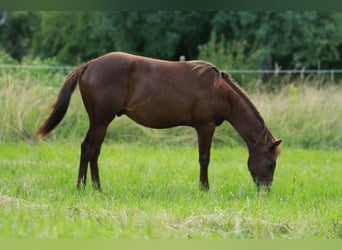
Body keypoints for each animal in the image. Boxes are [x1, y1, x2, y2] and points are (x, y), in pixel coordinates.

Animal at [36, 51, 282, 190]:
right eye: (272, 163)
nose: (265, 190)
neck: (219, 91)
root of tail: (89, 65)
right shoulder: (205, 126)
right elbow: (204, 159)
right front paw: (204, 189)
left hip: (101, 122)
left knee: (94, 151)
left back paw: (96, 188)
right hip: (100, 120)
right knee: (88, 148)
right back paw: (82, 187)